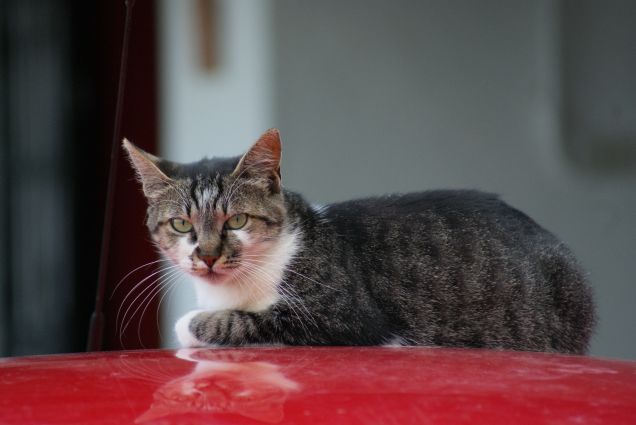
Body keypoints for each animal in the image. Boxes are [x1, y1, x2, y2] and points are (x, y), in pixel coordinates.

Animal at [123, 127, 596, 352]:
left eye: (237, 220)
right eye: (181, 225)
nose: (206, 256)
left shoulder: (343, 318)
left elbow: (237, 322)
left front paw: (190, 324)